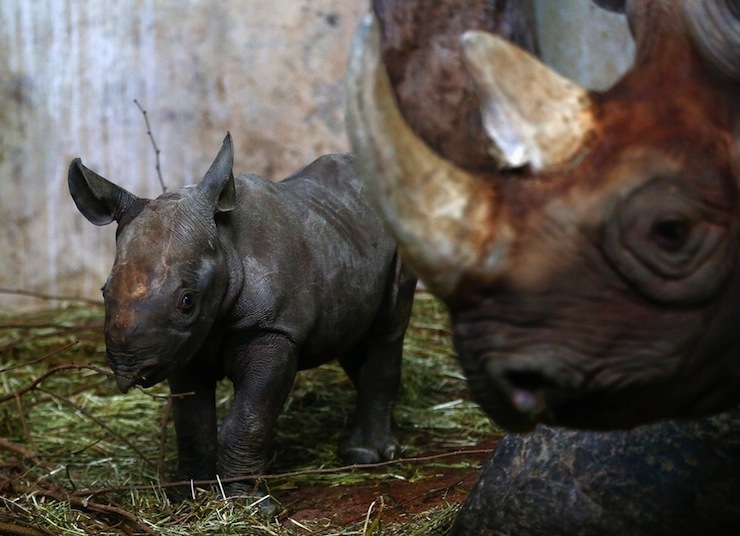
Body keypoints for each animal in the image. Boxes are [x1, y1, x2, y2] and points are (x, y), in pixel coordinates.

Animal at [68, 134, 416, 499]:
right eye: (103, 291)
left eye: (187, 302)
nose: (129, 368)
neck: (225, 245)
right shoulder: (185, 344)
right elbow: (192, 422)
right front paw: (188, 494)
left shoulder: (274, 328)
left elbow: (249, 418)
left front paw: (242, 502)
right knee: (354, 334)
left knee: (388, 329)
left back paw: (366, 455)